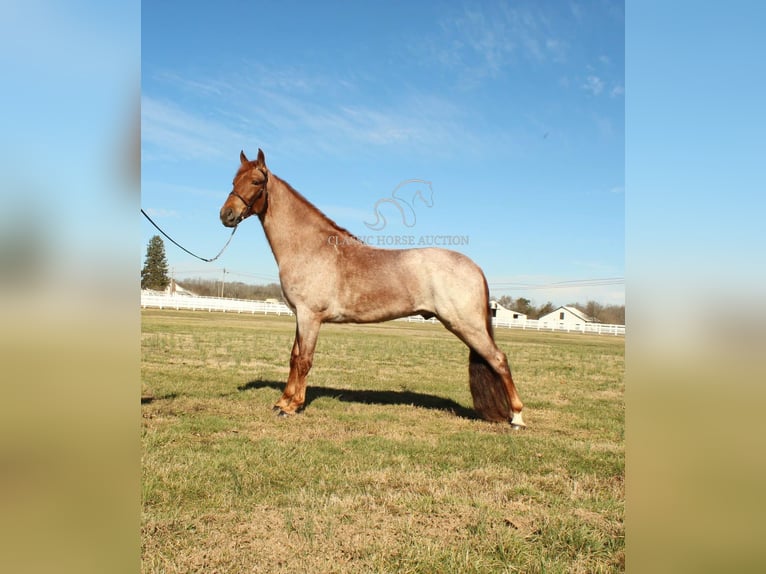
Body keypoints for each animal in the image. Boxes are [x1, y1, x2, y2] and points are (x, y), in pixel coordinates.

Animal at [219, 151, 524, 430]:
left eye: (256, 181)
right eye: (233, 180)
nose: (226, 215)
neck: (311, 248)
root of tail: (474, 267)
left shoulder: (310, 316)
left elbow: (304, 360)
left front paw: (292, 406)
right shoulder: (300, 317)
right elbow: (294, 358)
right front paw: (282, 401)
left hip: (466, 325)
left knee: (499, 360)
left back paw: (517, 418)